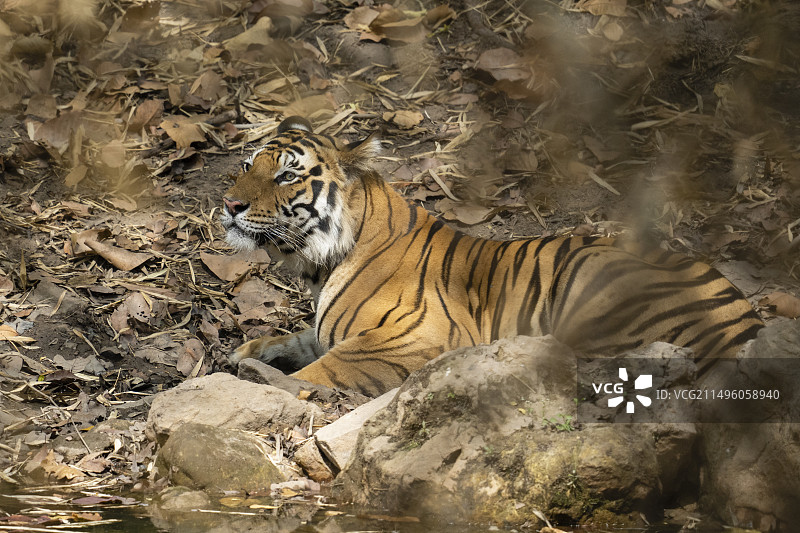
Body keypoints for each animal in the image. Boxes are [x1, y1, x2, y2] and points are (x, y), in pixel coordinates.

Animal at [221, 115, 764, 397]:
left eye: (286, 175)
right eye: (247, 166)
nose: (229, 205)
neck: (320, 264)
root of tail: (746, 317)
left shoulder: (417, 336)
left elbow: (326, 368)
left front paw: (268, 383)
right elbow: (300, 340)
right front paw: (245, 356)